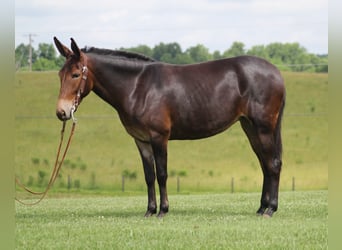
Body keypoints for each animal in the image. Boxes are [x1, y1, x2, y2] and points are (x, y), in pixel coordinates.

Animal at [53, 36, 284, 217]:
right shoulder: (141, 140)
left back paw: (271, 209)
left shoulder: (159, 137)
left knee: (272, 164)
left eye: (75, 74)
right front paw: (149, 210)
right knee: (265, 164)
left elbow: (162, 174)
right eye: (60, 74)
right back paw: (261, 208)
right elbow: (149, 176)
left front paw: (163, 210)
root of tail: (276, 72)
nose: (61, 112)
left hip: (263, 128)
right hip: (250, 127)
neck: (138, 87)